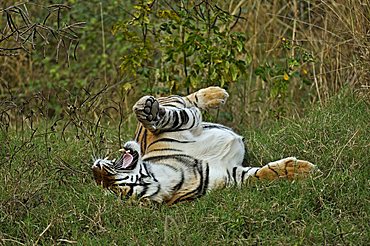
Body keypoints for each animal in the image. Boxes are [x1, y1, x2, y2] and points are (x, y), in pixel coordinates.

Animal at [92, 85, 316, 205]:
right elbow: (261, 175)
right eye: (109, 186)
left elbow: (174, 117)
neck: (168, 176)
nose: (95, 168)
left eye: (103, 182)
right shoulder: (232, 174)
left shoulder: (179, 125)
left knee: (185, 100)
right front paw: (304, 170)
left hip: (173, 103)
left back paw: (215, 94)